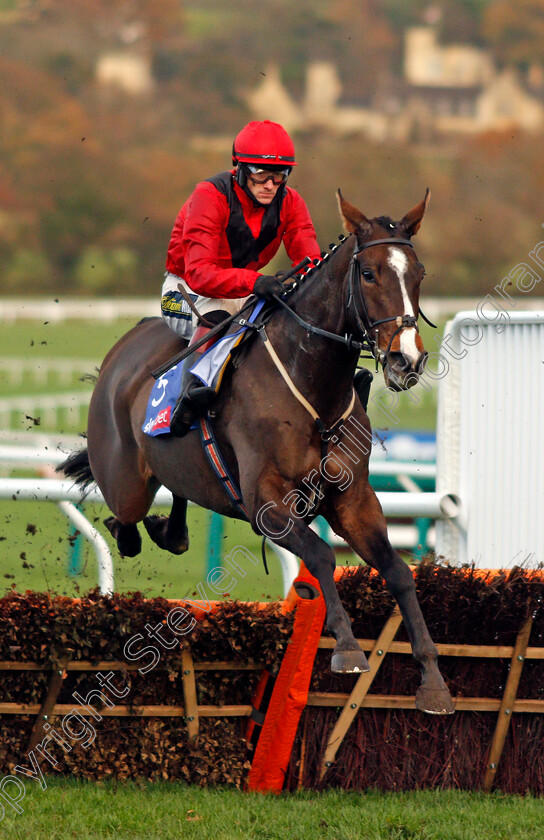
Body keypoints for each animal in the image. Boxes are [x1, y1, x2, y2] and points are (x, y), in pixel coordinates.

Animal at [60, 190, 454, 716]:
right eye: (369, 273)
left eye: (419, 274)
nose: (405, 360)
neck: (313, 387)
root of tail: (122, 349)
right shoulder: (266, 502)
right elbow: (321, 556)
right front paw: (348, 649)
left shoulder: (354, 499)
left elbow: (398, 571)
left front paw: (433, 680)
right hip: (125, 479)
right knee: (123, 521)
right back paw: (140, 531)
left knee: (170, 508)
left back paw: (172, 530)